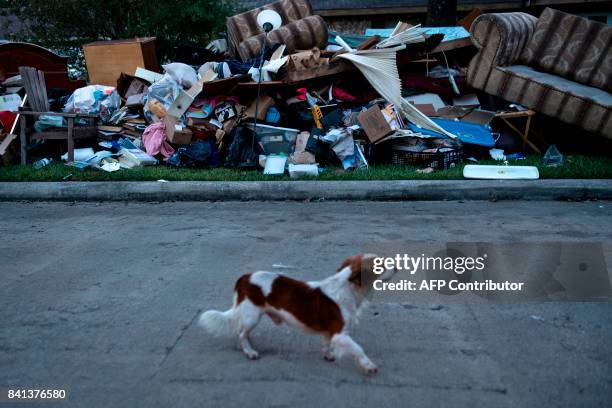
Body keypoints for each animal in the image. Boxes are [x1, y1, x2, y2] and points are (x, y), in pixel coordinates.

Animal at [198, 253, 394, 374]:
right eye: (379, 265)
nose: (397, 265)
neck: (349, 288)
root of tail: (244, 277)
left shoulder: (330, 332)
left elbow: (326, 343)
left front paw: (327, 355)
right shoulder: (341, 334)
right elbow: (358, 349)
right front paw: (368, 365)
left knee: (242, 332)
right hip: (251, 316)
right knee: (241, 333)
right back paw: (249, 351)